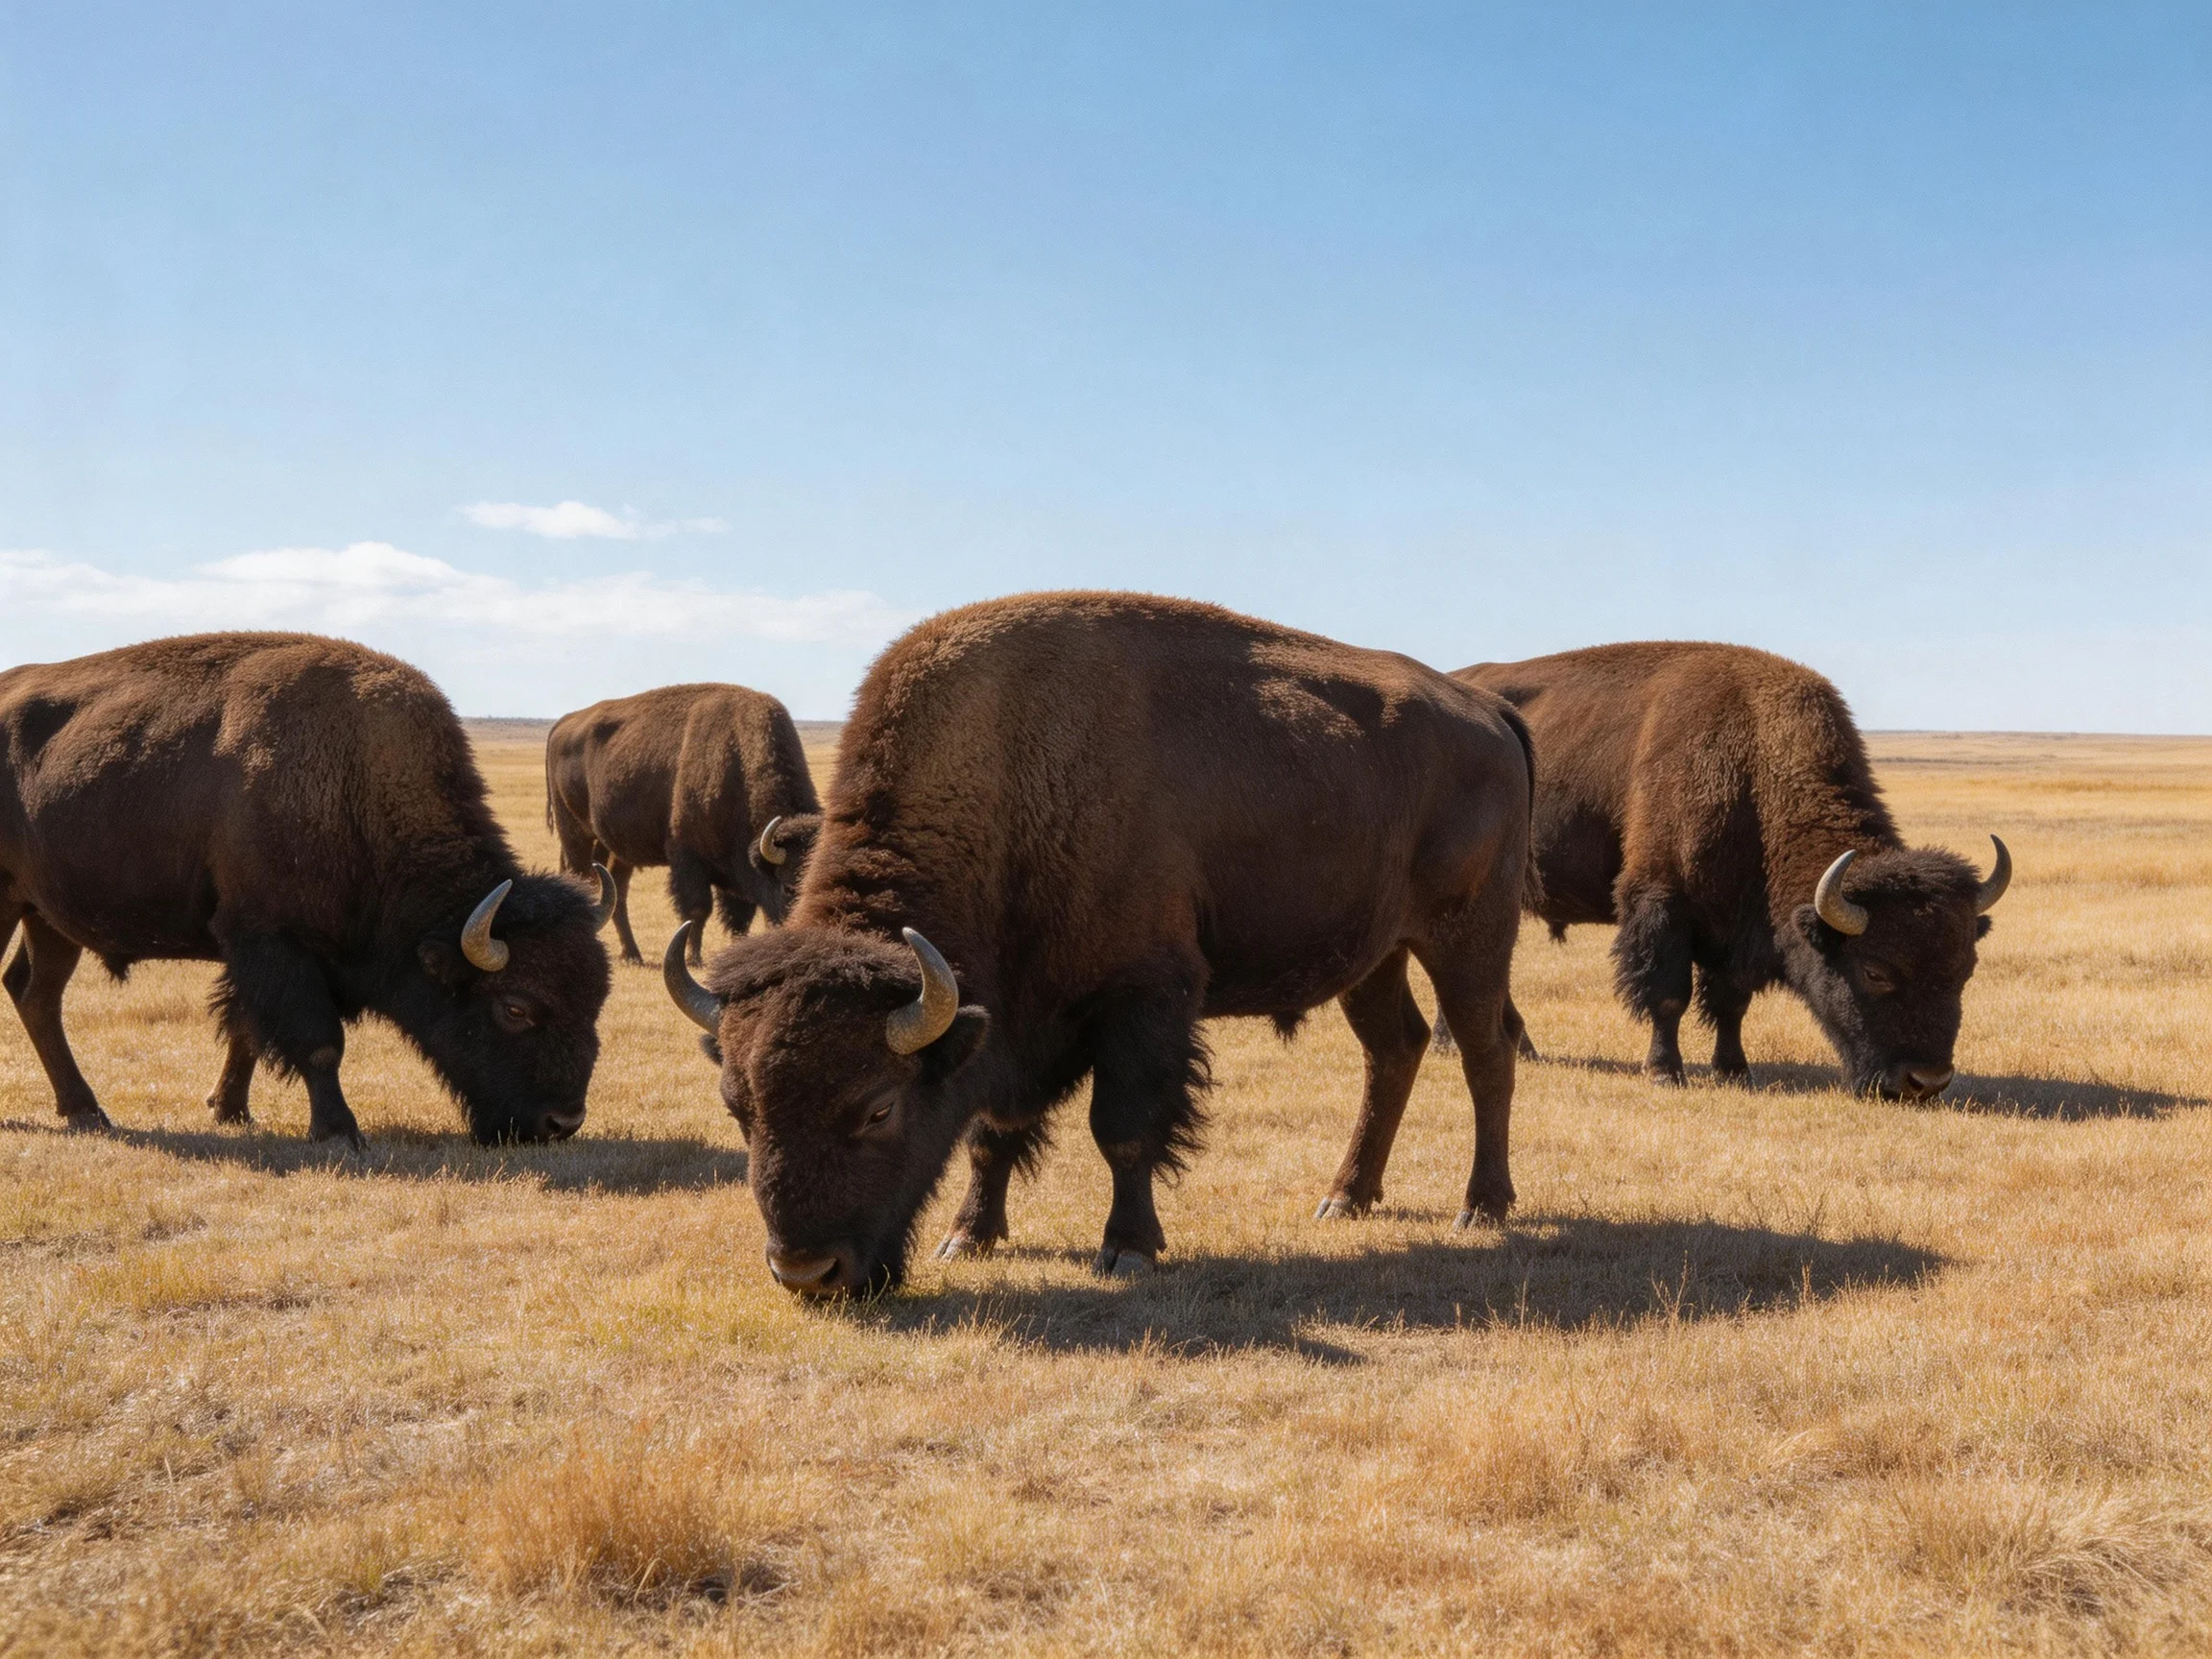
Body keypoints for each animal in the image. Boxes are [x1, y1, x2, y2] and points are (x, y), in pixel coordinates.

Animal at [0, 633, 615, 1145]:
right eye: (515, 1007)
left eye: (598, 999)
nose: (562, 1122)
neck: (355, 781)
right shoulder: (274, 943)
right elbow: (319, 1044)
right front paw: (339, 1132)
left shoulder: (256, 957)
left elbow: (247, 1032)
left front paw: (230, 1110)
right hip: (12, 903)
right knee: (33, 992)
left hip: (48, 917)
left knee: (35, 992)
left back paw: (84, 1111)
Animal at [547, 683, 821, 966]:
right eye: (789, 888)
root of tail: (563, 723)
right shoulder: (688, 858)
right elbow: (697, 910)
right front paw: (694, 959)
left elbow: (738, 918)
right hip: (576, 836)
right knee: (582, 879)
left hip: (615, 850)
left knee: (615, 893)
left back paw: (633, 954)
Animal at [665, 592, 1535, 1296]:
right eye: (738, 1107)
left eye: (878, 1108)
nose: (807, 1273)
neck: (1012, 776)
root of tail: (1489, 714)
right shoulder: (1007, 1024)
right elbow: (990, 1134)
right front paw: (968, 1237)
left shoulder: (1144, 1001)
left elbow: (1122, 1129)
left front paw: (1127, 1251)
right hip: (1375, 956)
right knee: (1394, 1050)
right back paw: (1345, 1197)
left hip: (1468, 937)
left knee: (1485, 1053)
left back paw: (1480, 1208)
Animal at [1443, 642, 2009, 1099]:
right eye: (1875, 971)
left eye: (1965, 969)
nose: (1925, 1082)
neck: (1754, 756)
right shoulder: (1662, 902)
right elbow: (1669, 995)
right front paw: (1665, 1073)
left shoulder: (1735, 927)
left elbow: (1731, 1003)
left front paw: (1735, 1071)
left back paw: (1520, 1048)